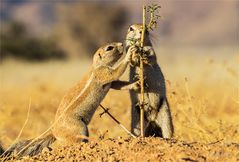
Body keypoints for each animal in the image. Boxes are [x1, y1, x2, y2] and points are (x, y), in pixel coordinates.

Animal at [1, 42, 136, 158]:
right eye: (109, 48)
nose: (122, 44)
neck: (97, 65)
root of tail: (54, 131)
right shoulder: (103, 73)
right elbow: (116, 72)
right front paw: (129, 53)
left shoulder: (110, 81)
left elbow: (119, 85)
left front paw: (136, 84)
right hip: (79, 127)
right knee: (72, 142)